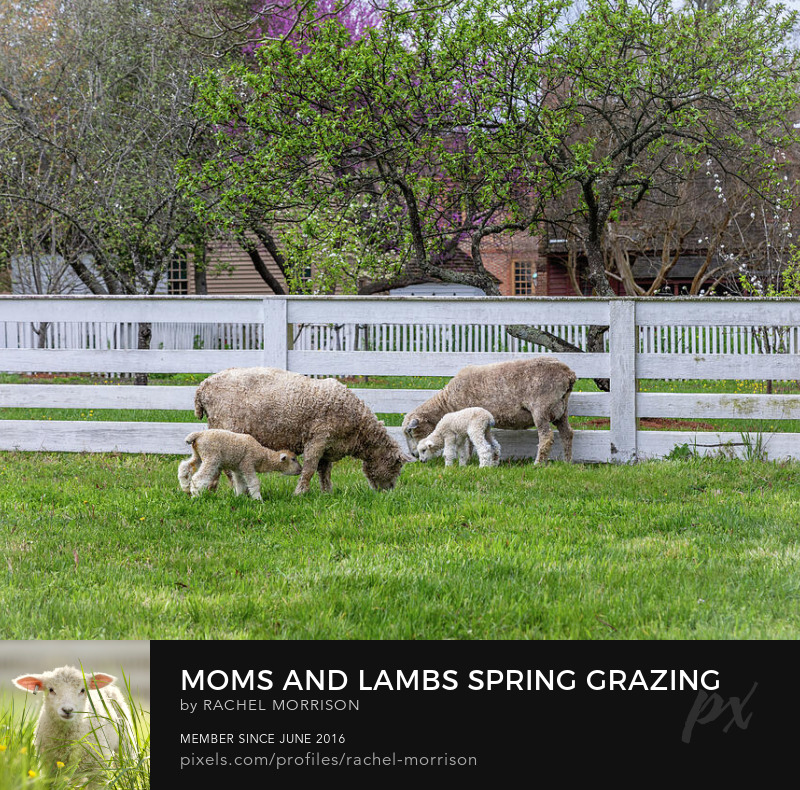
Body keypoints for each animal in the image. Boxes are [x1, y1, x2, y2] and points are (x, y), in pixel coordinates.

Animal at [191, 366, 410, 496]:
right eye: (397, 467)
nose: (389, 492)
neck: (358, 429)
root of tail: (203, 387)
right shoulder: (318, 439)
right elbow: (310, 468)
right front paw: (300, 492)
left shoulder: (328, 446)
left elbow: (324, 471)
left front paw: (326, 492)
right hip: (227, 427)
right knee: (225, 467)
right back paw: (235, 491)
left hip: (215, 427)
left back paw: (211, 490)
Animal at [400, 358, 576, 464]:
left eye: (410, 432)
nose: (414, 455)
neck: (447, 402)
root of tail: (569, 374)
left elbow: (469, 443)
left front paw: (468, 460)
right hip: (561, 409)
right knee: (567, 433)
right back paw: (567, 462)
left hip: (541, 408)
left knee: (546, 437)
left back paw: (538, 464)